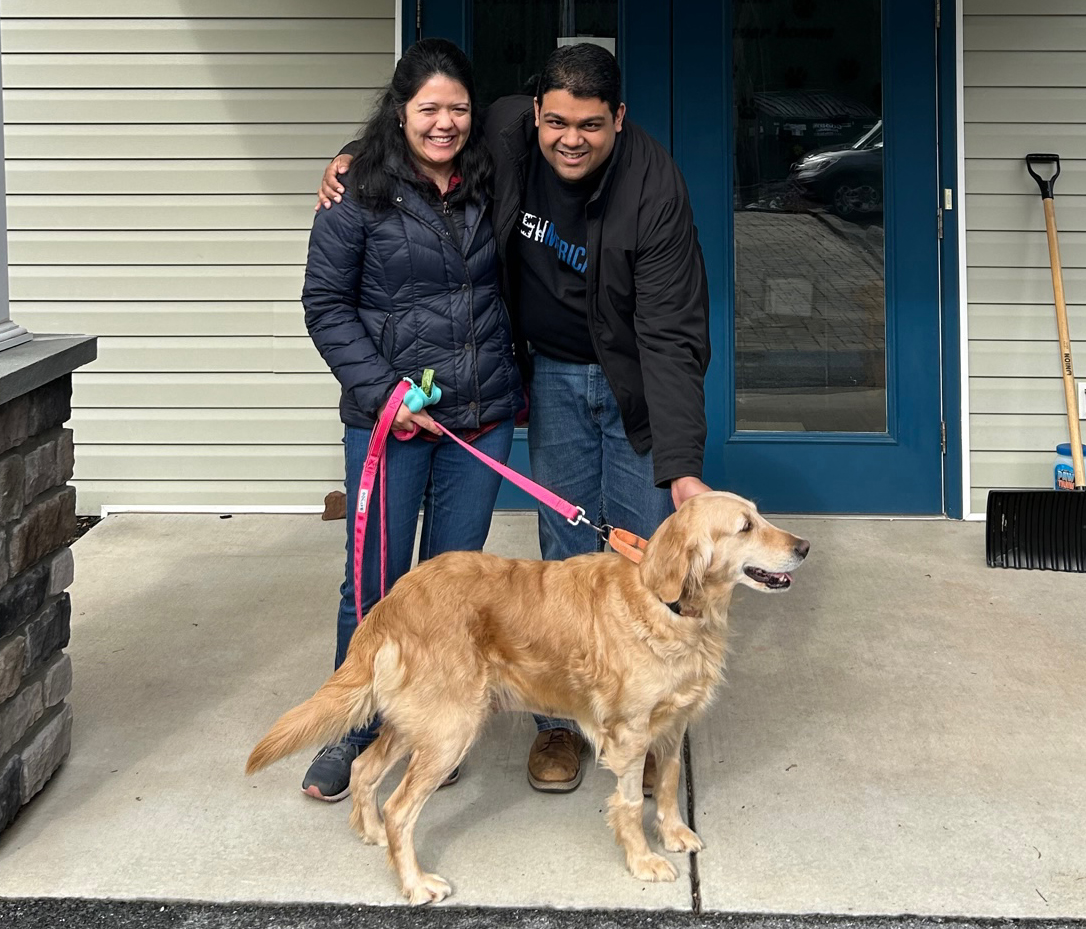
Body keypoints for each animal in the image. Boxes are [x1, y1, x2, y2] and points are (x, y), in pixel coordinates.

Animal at [246, 491, 809, 904]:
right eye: (745, 527)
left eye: (758, 516)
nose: (804, 546)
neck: (668, 603)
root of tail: (394, 599)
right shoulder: (630, 734)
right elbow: (629, 803)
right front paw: (643, 859)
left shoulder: (671, 728)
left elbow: (668, 785)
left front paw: (672, 834)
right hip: (451, 729)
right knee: (400, 808)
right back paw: (415, 882)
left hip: (422, 724)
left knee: (366, 769)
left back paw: (372, 833)